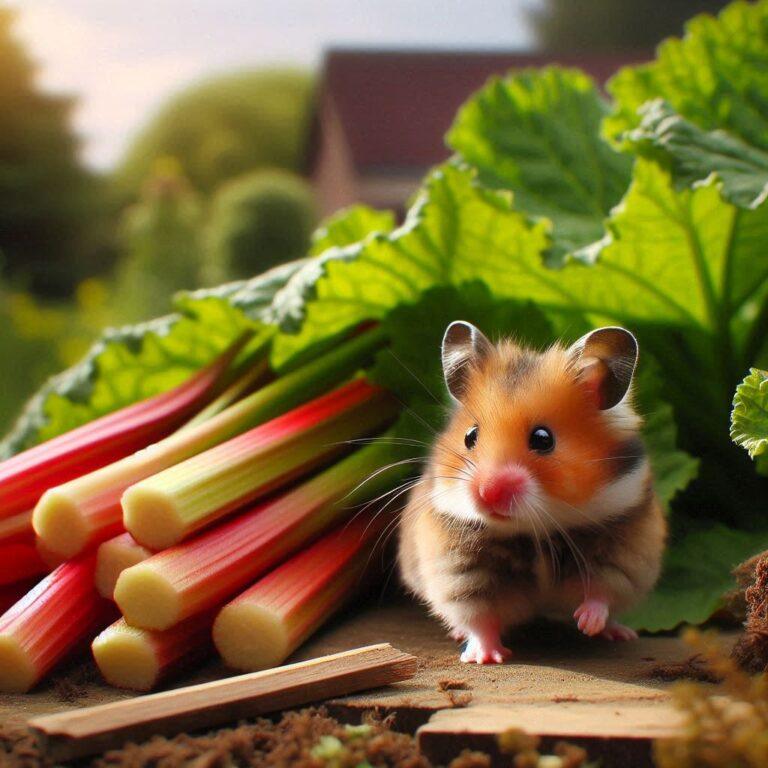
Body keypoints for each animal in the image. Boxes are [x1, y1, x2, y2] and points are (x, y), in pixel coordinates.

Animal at [400, 320, 668, 664]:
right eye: (470, 436)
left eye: (543, 438)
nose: (487, 493)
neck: (536, 527)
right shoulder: (460, 569)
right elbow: (479, 617)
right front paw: (487, 658)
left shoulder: (623, 552)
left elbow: (601, 592)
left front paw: (587, 623)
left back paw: (618, 633)